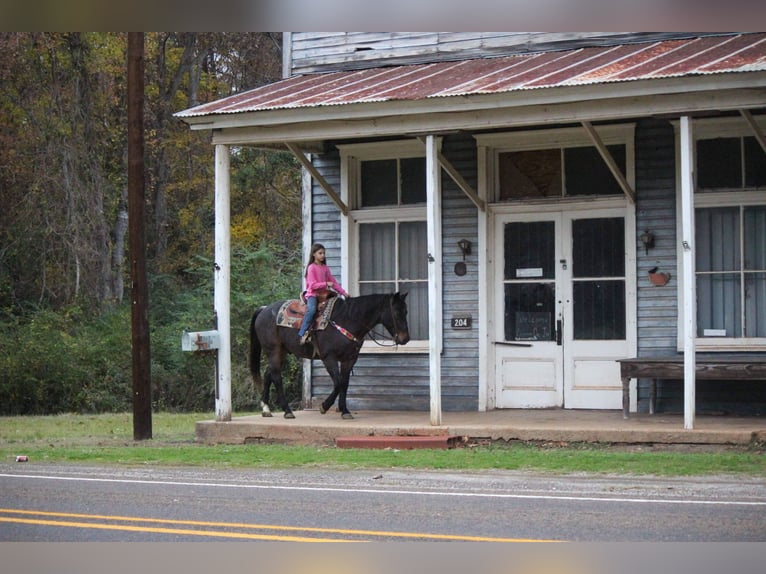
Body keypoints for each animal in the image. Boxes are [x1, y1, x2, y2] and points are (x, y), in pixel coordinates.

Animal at [250, 294, 408, 420]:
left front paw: (345, 411)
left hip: (281, 351)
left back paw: (266, 409)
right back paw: (287, 411)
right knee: (276, 377)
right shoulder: (328, 358)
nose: (405, 338)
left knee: (268, 374)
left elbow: (344, 383)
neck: (347, 320)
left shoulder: (349, 359)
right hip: (273, 350)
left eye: (406, 311)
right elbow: (338, 383)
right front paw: (324, 406)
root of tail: (264, 309)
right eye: (396, 312)